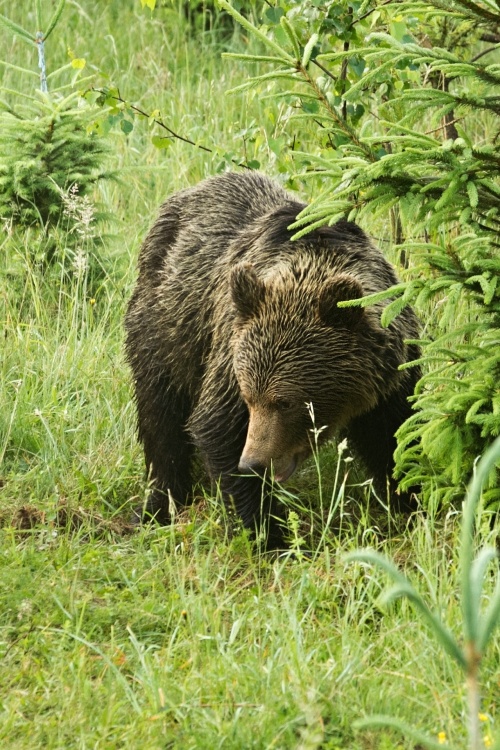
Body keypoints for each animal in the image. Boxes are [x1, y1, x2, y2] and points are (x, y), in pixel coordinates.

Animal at [126, 173, 422, 548]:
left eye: (286, 402)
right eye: (250, 397)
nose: (252, 462)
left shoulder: (393, 377)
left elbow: (397, 437)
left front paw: (410, 502)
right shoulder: (230, 349)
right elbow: (217, 426)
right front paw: (269, 534)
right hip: (167, 328)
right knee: (160, 416)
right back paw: (158, 505)